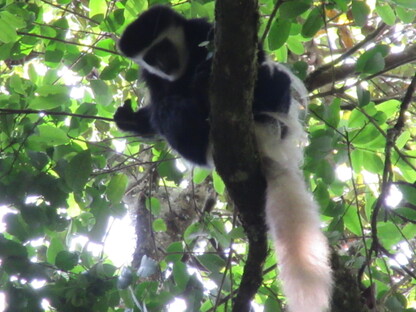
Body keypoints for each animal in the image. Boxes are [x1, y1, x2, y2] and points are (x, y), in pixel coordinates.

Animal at [113, 5, 332, 312]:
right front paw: (130, 119)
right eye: (151, 57)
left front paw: (203, 73)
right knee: (168, 110)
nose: (164, 64)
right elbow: (158, 105)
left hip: (275, 116)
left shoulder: (206, 31)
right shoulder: (152, 76)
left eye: (163, 47)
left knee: (272, 76)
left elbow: (255, 57)